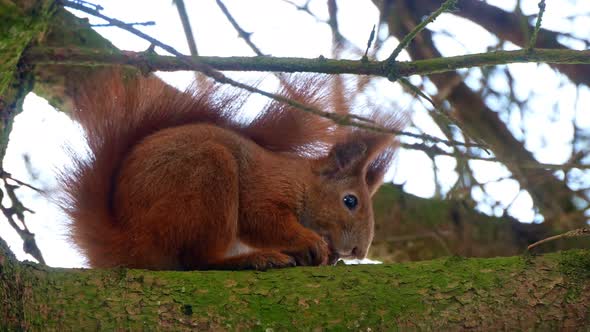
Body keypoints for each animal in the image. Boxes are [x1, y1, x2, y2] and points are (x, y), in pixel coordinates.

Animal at [62, 70, 404, 270]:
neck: (302, 181)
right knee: (198, 260)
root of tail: (128, 241)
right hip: (208, 174)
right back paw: (254, 259)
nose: (358, 251)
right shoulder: (267, 186)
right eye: (350, 201)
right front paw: (309, 241)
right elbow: (261, 218)